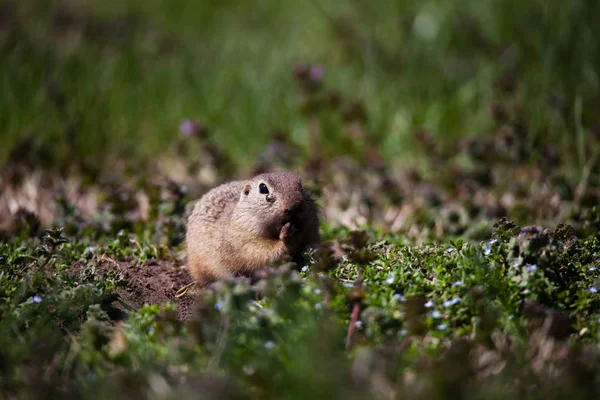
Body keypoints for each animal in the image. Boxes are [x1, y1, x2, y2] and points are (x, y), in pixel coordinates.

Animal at [185, 171, 322, 284]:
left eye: (301, 187)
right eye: (263, 188)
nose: (295, 206)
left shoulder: (311, 232)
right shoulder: (243, 241)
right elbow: (264, 253)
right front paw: (287, 235)